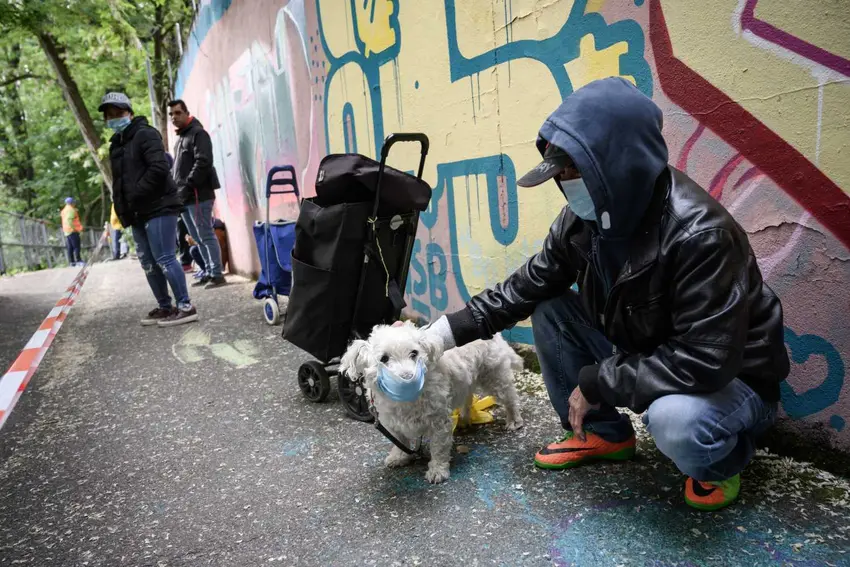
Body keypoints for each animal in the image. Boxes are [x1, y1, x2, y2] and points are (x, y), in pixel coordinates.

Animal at [339, 321, 524, 483]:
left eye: (414, 353)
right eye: (384, 358)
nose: (408, 377)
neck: (408, 399)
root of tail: (496, 335)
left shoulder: (439, 422)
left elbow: (439, 448)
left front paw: (437, 471)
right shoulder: (392, 422)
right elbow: (400, 440)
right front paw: (399, 456)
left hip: (494, 376)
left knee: (510, 397)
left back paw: (514, 420)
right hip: (467, 379)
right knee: (468, 396)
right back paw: (465, 419)